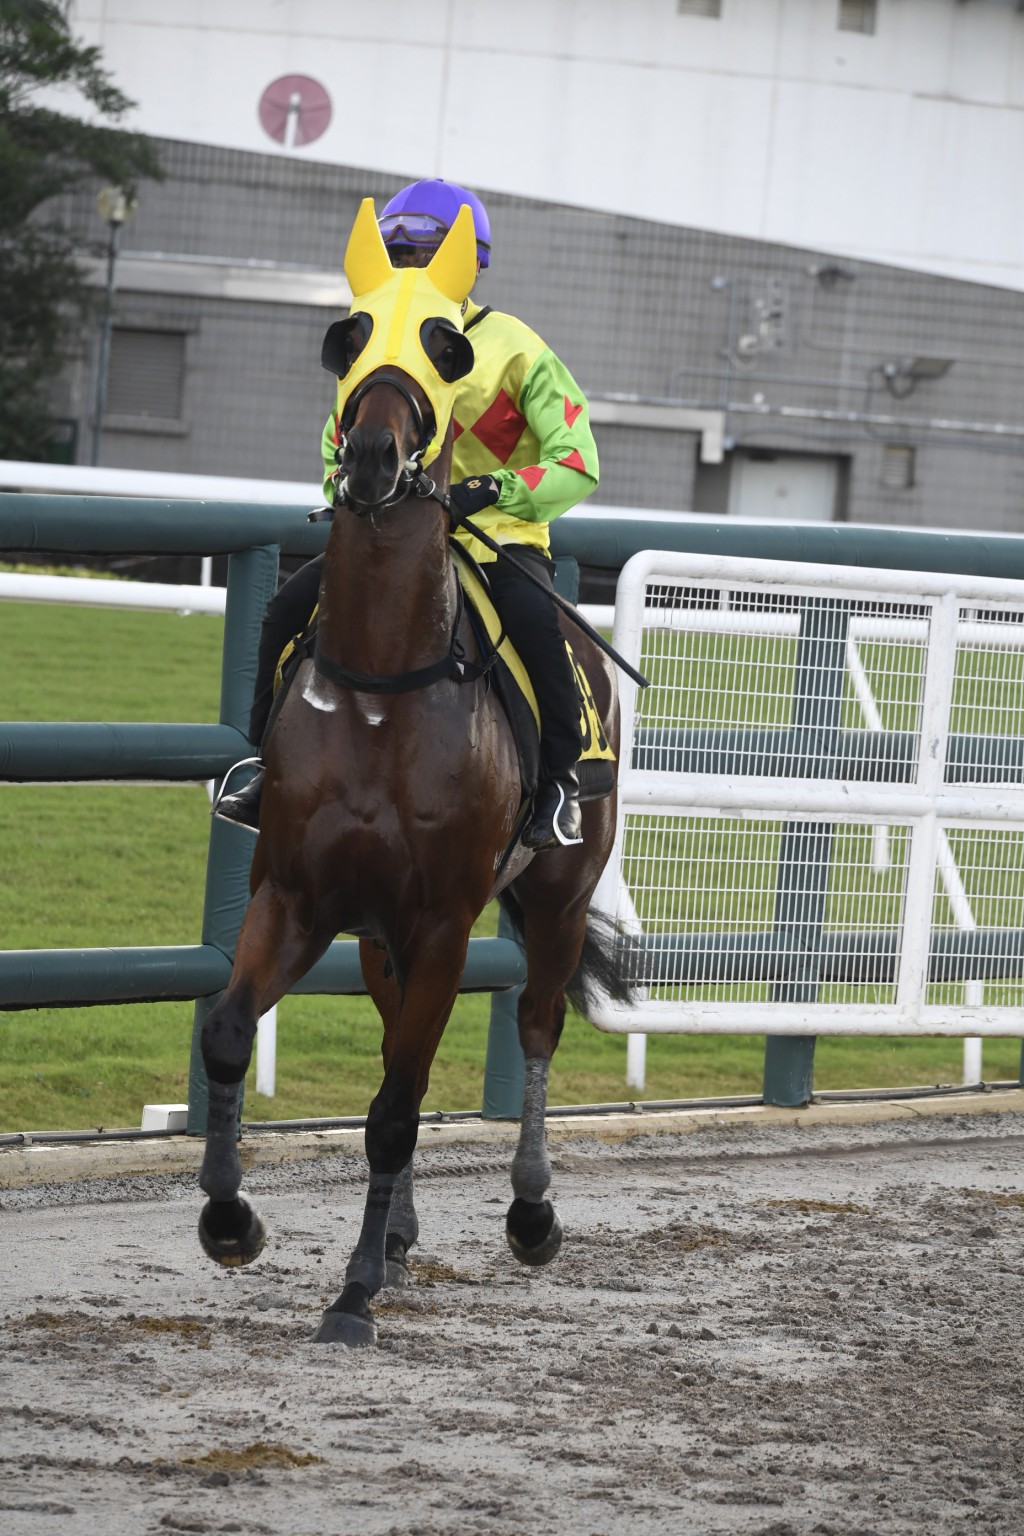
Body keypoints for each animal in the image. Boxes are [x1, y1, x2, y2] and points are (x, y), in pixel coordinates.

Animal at [191, 201, 626, 1345]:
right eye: (345, 337)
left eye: (448, 348)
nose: (377, 455)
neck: (385, 684)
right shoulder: (296, 893)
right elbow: (229, 1034)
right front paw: (231, 1221)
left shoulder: (441, 919)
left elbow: (393, 1107)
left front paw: (351, 1295)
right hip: (382, 933)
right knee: (400, 1040)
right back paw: (397, 1231)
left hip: (553, 901)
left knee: (534, 1025)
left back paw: (530, 1215)